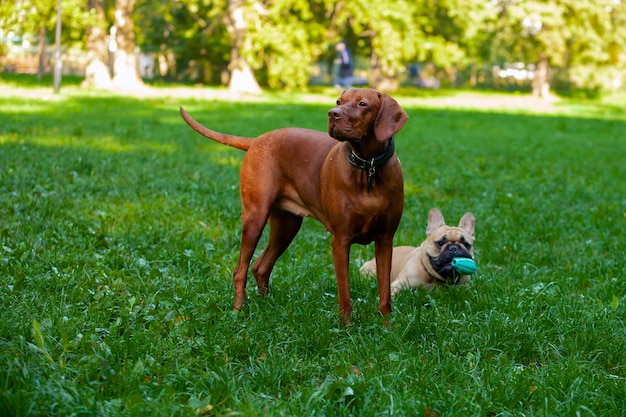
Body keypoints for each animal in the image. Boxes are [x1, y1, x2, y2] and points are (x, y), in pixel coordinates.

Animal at [178, 88, 408, 316]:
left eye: (362, 104)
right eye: (339, 101)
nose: (332, 113)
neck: (368, 169)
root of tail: (256, 140)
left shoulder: (385, 240)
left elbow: (385, 295)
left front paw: (386, 325)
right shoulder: (341, 240)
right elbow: (345, 297)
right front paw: (347, 325)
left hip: (286, 226)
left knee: (260, 266)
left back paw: (267, 305)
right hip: (255, 218)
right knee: (240, 270)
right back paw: (238, 311)